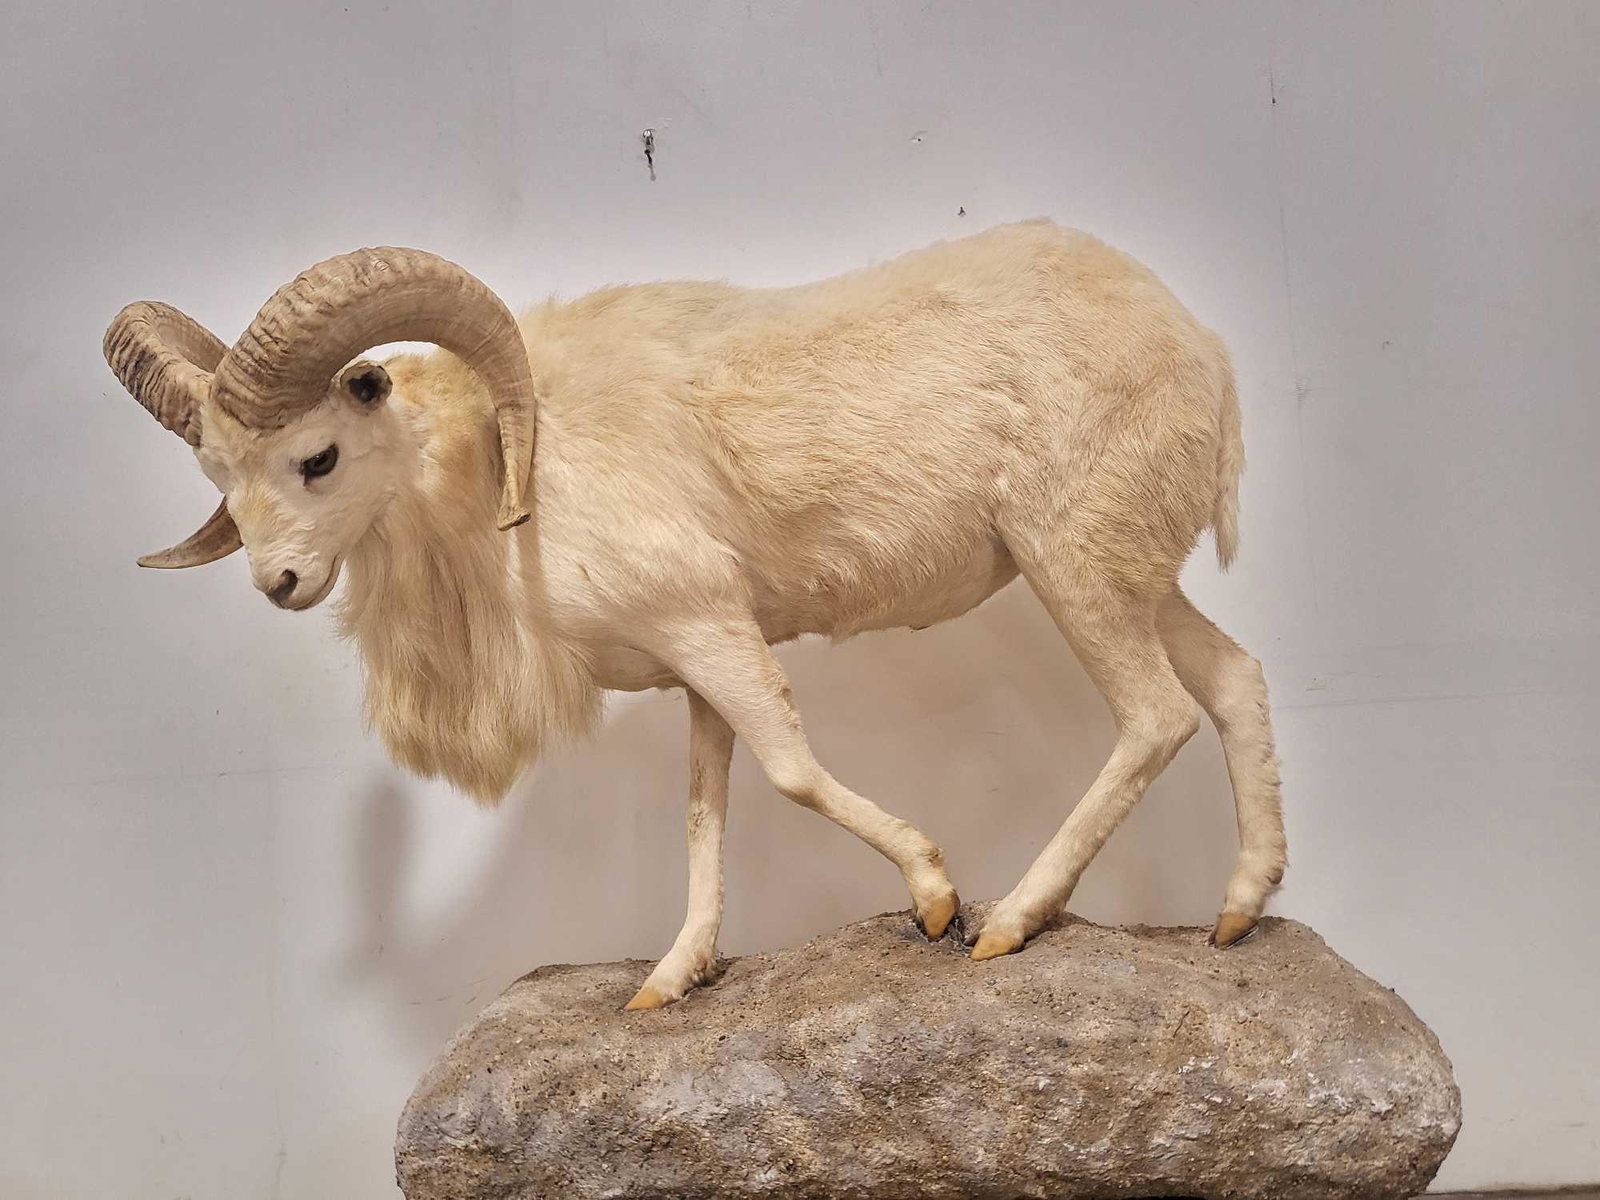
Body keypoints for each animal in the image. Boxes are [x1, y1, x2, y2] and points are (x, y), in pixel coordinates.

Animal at [105, 220, 1286, 1009]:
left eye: (319, 457)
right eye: (219, 474)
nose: (279, 585)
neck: (503, 471)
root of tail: (1203, 350)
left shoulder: (715, 632)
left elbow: (791, 773)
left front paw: (935, 900)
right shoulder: (697, 665)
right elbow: (705, 810)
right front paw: (669, 984)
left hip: (1075, 569)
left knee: (1156, 718)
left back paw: (1010, 926)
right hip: (1128, 576)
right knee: (1232, 679)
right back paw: (1236, 915)